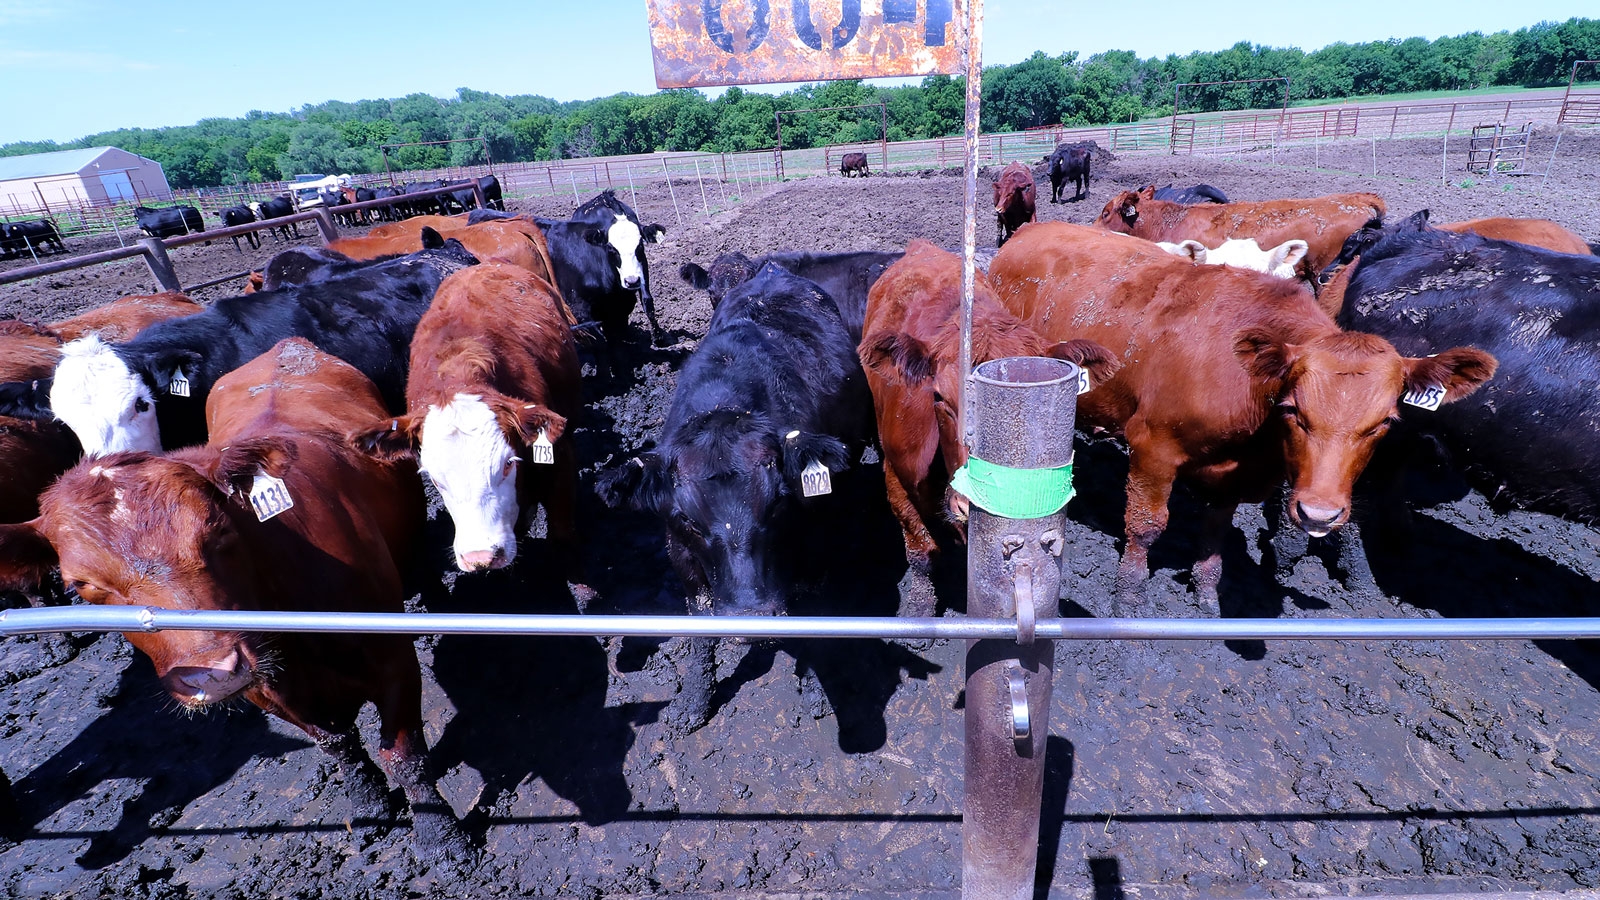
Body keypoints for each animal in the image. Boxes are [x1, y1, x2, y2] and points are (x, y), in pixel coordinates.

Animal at [0, 336, 467, 851]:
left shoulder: (394, 660)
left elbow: (404, 755)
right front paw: (368, 808)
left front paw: (440, 837)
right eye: (79, 584)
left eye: (217, 527)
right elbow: (338, 745)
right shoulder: (270, 689)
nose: (212, 673)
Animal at [598, 259, 876, 730]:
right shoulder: (681, 556)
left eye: (779, 503)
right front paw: (694, 703)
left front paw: (814, 694)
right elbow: (699, 624)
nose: (751, 617)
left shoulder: (813, 542)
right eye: (688, 519)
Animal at [985, 222, 1497, 608]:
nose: (1319, 513)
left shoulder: (1232, 475)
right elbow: (1146, 527)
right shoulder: (1152, 447)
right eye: (1294, 409)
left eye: (1385, 423)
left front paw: (1207, 597)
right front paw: (1127, 600)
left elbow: (1214, 536)